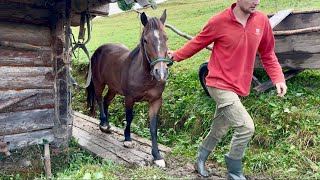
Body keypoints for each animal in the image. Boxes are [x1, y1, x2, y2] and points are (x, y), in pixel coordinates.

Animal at [85, 9, 172, 167]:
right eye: (145, 40)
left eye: (166, 37)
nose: (161, 72)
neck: (145, 76)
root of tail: (98, 51)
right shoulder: (129, 98)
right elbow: (129, 117)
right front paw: (127, 139)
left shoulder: (156, 100)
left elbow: (153, 127)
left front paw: (157, 156)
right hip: (99, 83)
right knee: (99, 99)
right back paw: (103, 123)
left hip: (113, 88)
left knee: (106, 101)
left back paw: (107, 125)